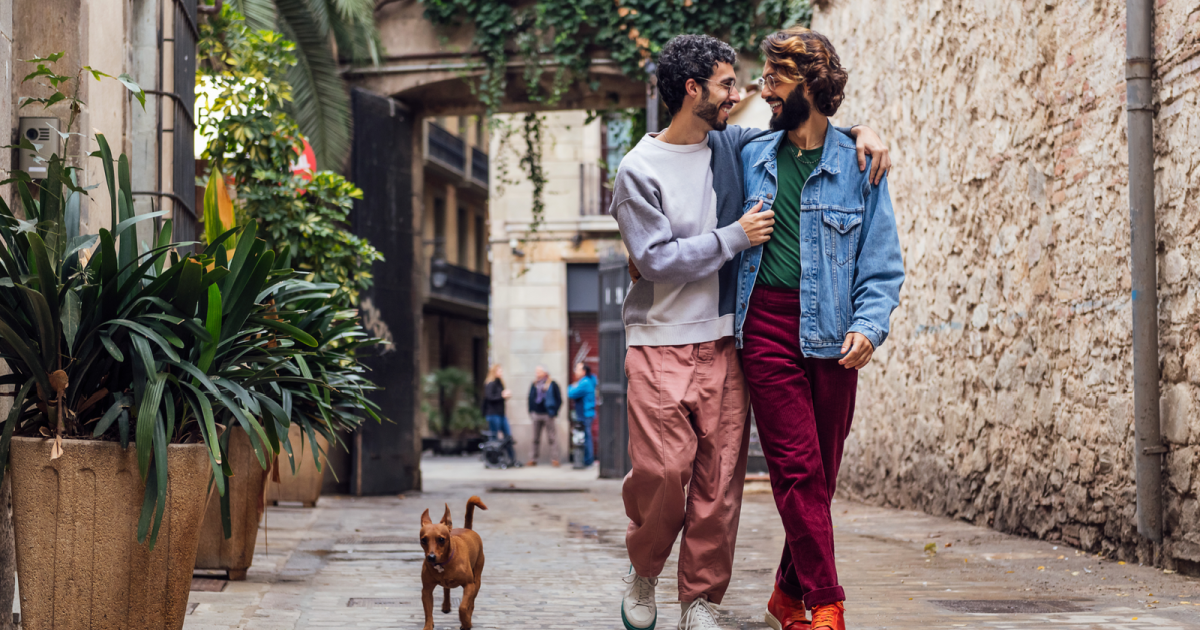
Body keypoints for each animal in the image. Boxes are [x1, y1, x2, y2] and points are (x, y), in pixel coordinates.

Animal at [422, 496, 487, 628]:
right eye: (423, 540)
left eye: (441, 539)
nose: (431, 557)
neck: (443, 564)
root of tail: (467, 529)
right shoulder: (426, 590)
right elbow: (428, 612)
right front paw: (428, 626)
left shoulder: (469, 585)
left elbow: (463, 607)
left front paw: (466, 622)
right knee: (446, 589)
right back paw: (446, 606)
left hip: (477, 580)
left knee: (471, 603)